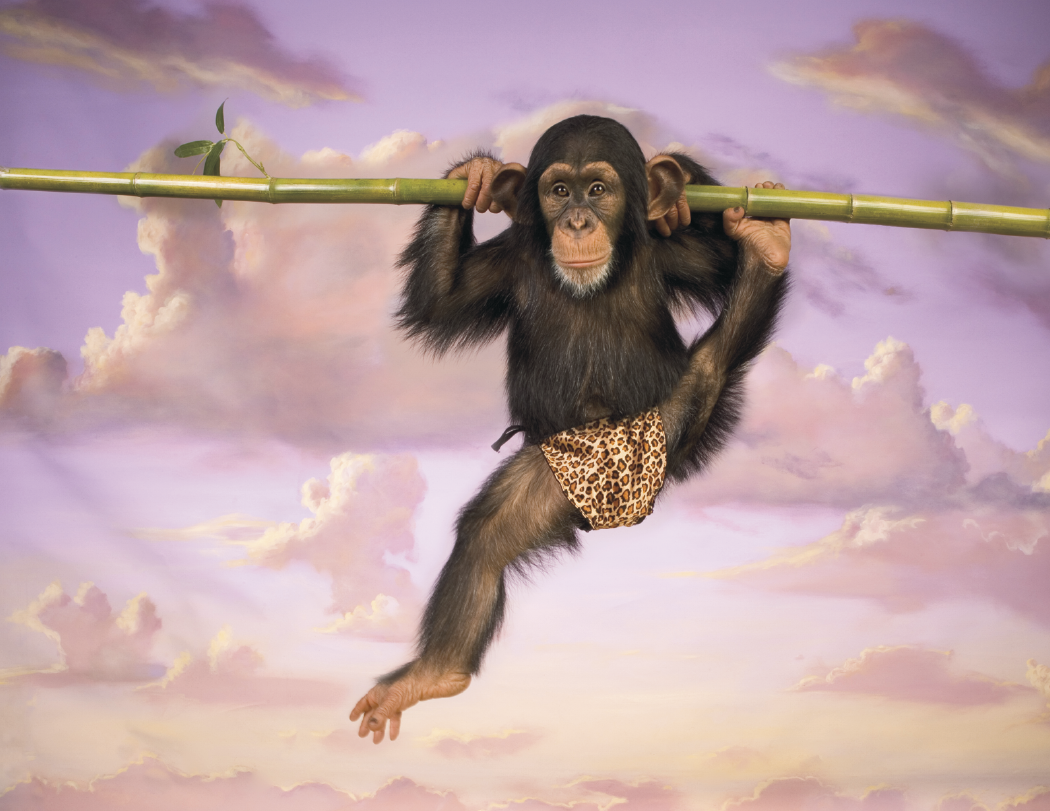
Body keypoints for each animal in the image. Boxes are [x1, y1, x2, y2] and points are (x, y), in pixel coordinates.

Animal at [350, 115, 790, 743]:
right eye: (559, 191)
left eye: (598, 190)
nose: (577, 220)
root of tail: (625, 509)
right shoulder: (506, 263)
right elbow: (440, 300)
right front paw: (474, 176)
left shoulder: (681, 257)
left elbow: (719, 260)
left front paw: (681, 189)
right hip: (562, 471)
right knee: (487, 537)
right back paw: (435, 675)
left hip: (667, 429)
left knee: (716, 359)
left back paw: (767, 246)